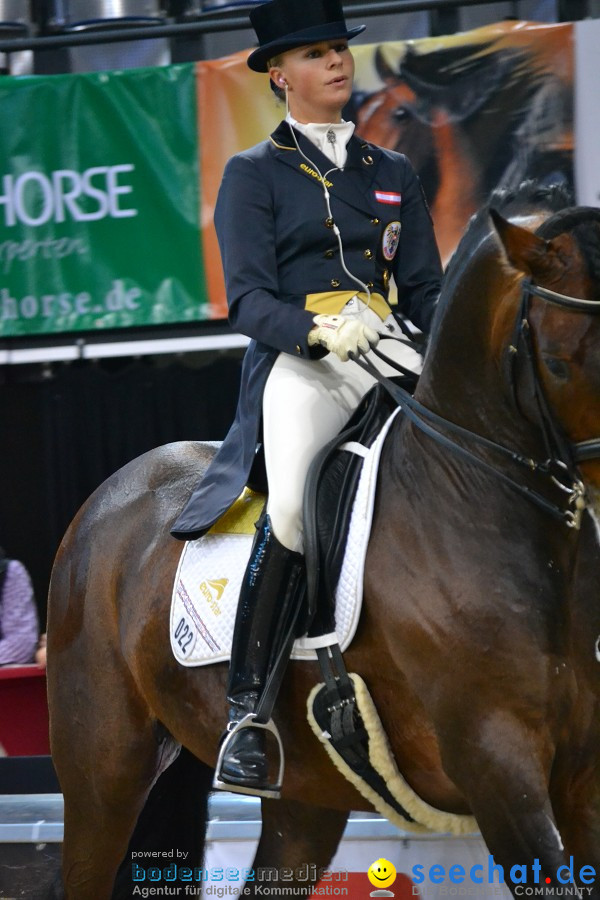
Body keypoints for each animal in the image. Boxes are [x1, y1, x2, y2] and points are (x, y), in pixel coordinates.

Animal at [47, 185, 600, 900]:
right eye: (559, 360)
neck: (471, 499)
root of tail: (106, 500)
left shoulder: (582, 773)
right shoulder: (500, 769)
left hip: (307, 795)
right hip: (103, 773)